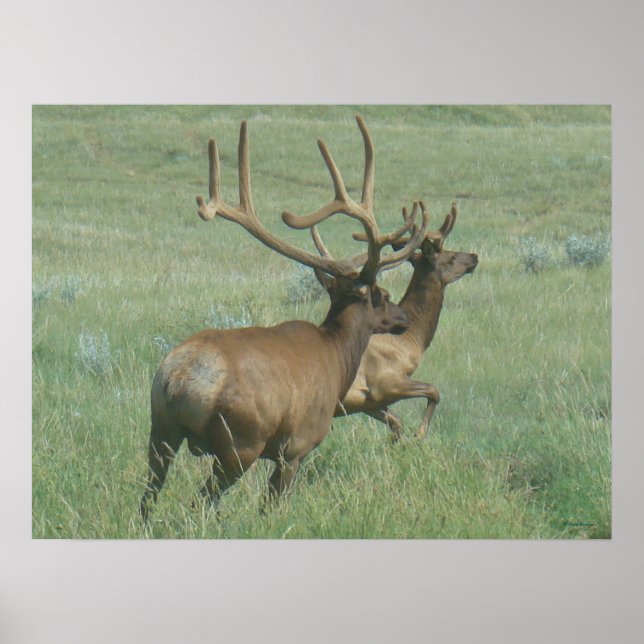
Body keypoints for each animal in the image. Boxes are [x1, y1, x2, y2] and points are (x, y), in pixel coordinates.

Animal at [140, 116, 430, 521]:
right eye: (382, 296)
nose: (403, 318)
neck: (337, 356)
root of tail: (179, 380)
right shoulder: (296, 445)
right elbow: (272, 506)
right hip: (239, 443)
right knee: (200, 501)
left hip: (160, 431)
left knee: (147, 500)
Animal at [311, 201, 478, 441]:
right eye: (450, 256)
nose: (474, 257)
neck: (411, 341)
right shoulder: (384, 382)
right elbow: (434, 391)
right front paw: (419, 434)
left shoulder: (369, 402)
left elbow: (397, 423)